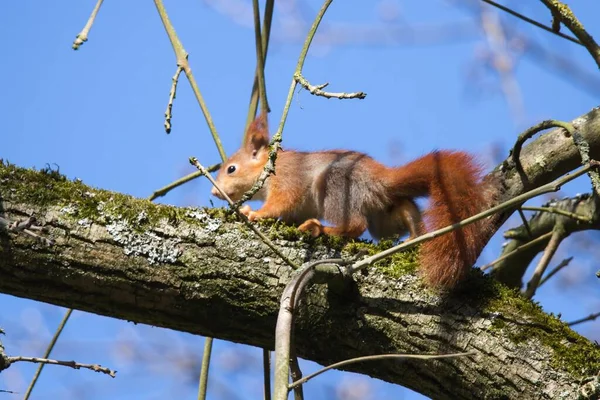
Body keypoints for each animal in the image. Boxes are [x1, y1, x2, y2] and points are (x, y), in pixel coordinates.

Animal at [211, 114, 492, 290]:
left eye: (231, 169)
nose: (215, 192)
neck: (268, 169)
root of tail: (379, 180)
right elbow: (289, 216)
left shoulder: (288, 179)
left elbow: (280, 203)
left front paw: (255, 213)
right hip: (382, 218)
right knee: (402, 212)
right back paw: (412, 237)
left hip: (335, 188)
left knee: (356, 225)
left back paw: (320, 228)